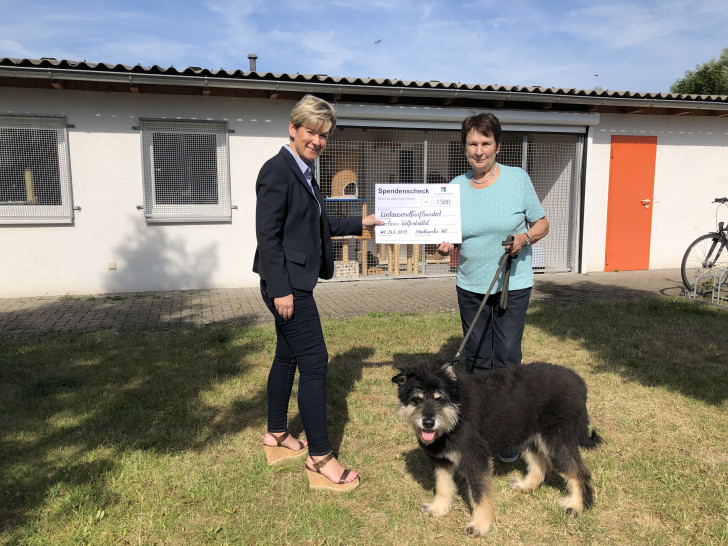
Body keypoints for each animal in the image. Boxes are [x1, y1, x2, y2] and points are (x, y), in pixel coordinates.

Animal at [392, 360, 604, 532]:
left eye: (440, 398)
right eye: (416, 399)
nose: (428, 422)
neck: (456, 416)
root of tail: (579, 382)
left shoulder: (476, 460)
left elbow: (479, 495)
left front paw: (479, 525)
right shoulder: (440, 460)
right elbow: (443, 486)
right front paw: (438, 508)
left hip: (556, 442)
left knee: (579, 472)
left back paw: (577, 505)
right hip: (529, 437)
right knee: (540, 464)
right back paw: (527, 486)